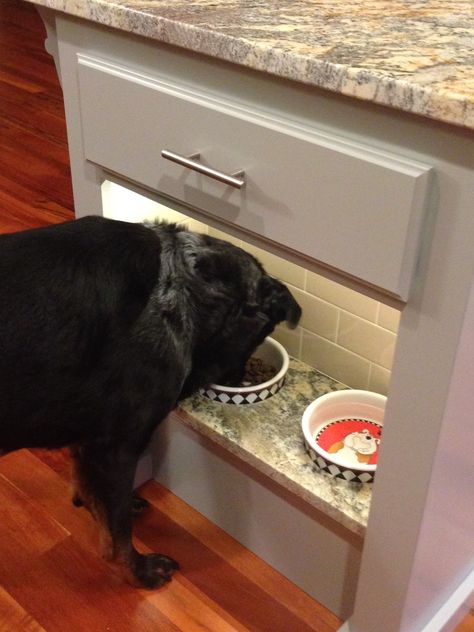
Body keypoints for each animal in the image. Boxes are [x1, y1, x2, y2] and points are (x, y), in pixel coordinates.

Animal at [0, 216, 302, 588]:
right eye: (260, 336)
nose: (240, 379)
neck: (184, 282)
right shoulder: (116, 447)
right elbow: (119, 532)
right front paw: (139, 571)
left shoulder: (89, 441)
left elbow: (92, 491)